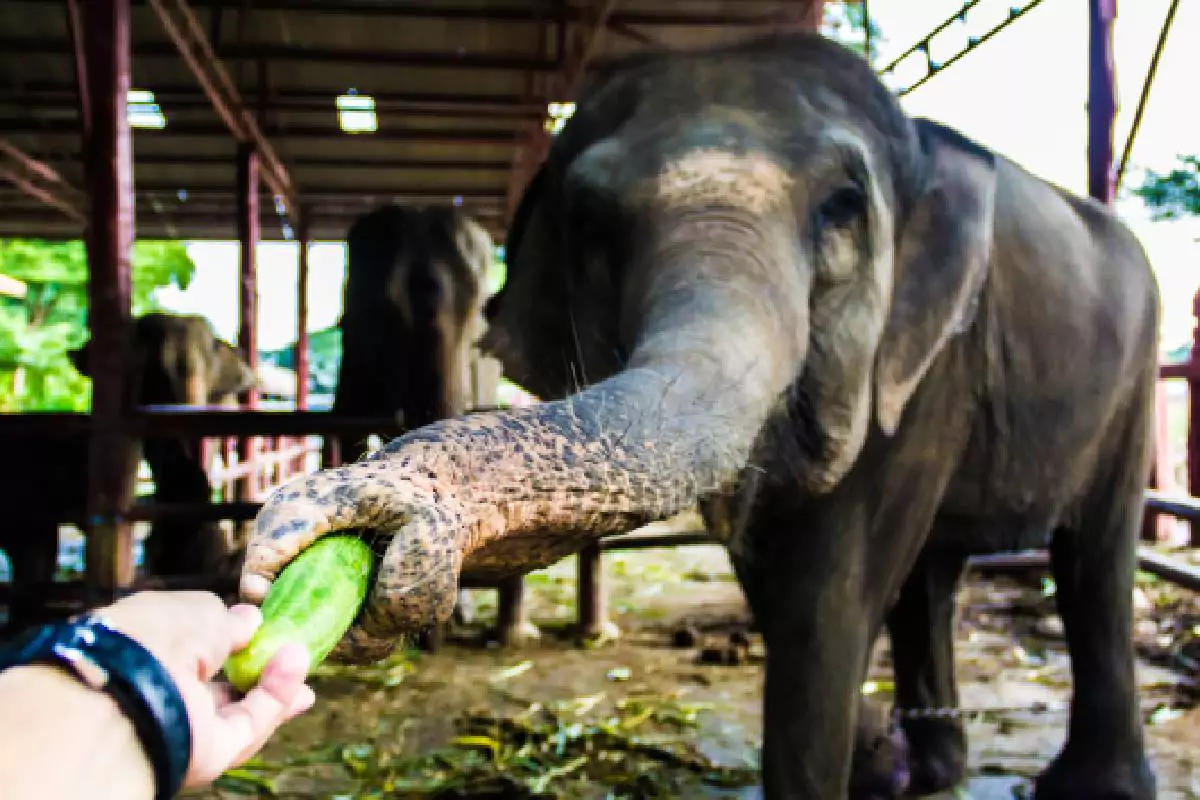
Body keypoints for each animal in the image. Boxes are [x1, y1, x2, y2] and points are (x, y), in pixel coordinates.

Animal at [241, 31, 1159, 800]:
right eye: (590, 222)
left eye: (842, 207)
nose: (376, 512)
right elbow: (781, 560)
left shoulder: (929, 359)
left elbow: (834, 580)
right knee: (935, 571)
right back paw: (924, 774)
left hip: (1138, 369)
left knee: (1094, 556)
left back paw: (1090, 788)